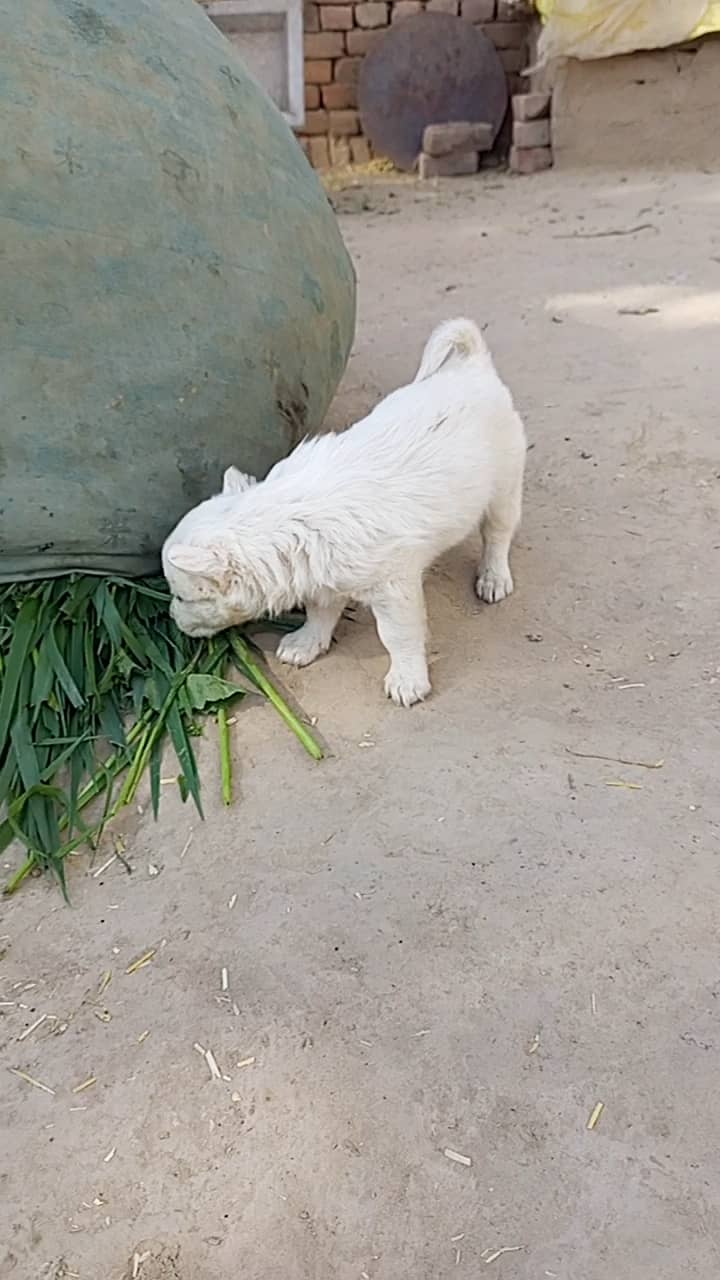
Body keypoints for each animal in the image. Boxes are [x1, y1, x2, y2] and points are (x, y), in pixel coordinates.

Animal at [161, 316, 520, 706]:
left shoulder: (394, 588)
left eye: (182, 596)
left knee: (497, 535)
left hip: (504, 488)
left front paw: (407, 680)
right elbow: (321, 612)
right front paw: (307, 643)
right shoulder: (322, 577)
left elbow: (398, 635)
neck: (286, 517)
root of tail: (472, 367)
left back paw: (493, 578)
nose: (172, 618)